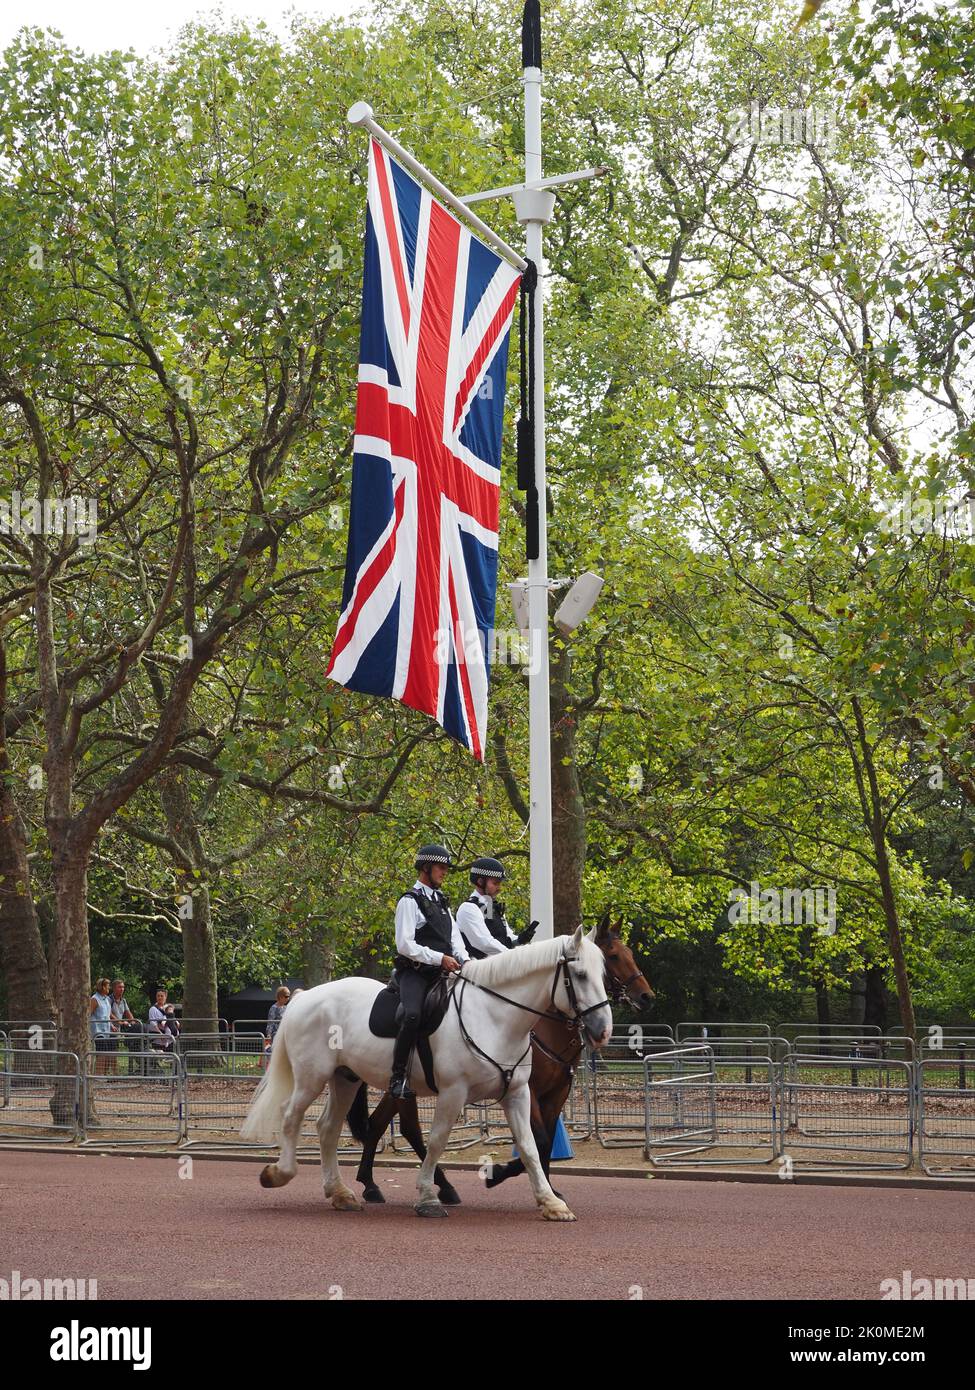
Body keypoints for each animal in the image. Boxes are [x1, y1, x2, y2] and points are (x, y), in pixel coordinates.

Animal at [240, 928, 611, 1223]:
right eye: (579, 974)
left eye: (604, 973)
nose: (603, 1030)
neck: (493, 1016)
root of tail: (305, 997)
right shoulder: (453, 1093)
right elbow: (437, 1142)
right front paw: (428, 1196)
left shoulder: (518, 1094)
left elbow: (531, 1146)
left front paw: (550, 1202)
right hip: (312, 1078)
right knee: (292, 1117)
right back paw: (279, 1173)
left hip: (345, 1079)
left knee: (327, 1128)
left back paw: (341, 1193)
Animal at [346, 911, 650, 1206]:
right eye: (613, 956)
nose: (646, 996)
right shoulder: (531, 1091)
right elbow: (539, 1139)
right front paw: (500, 1174)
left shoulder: (556, 1093)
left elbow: (545, 1140)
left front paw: (548, 1190)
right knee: (408, 1128)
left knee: (381, 1123)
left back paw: (374, 1185)